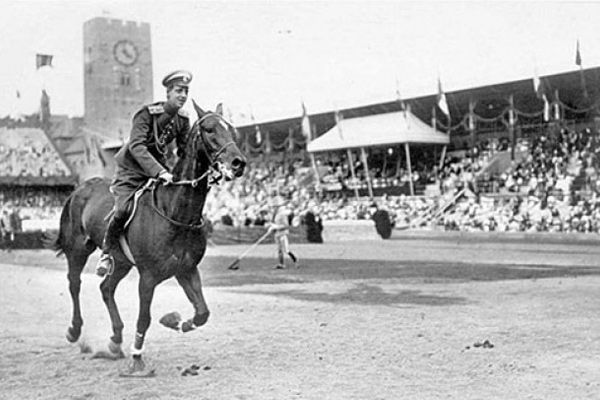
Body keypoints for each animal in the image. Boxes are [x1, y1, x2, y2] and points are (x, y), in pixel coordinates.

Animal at [48, 101, 246, 376]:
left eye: (233, 130)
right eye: (209, 129)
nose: (238, 163)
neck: (174, 212)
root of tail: (80, 188)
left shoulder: (186, 269)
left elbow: (202, 313)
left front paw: (175, 321)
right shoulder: (148, 277)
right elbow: (144, 318)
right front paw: (137, 359)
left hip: (121, 262)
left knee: (106, 288)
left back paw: (115, 339)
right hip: (77, 250)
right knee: (74, 284)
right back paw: (75, 330)